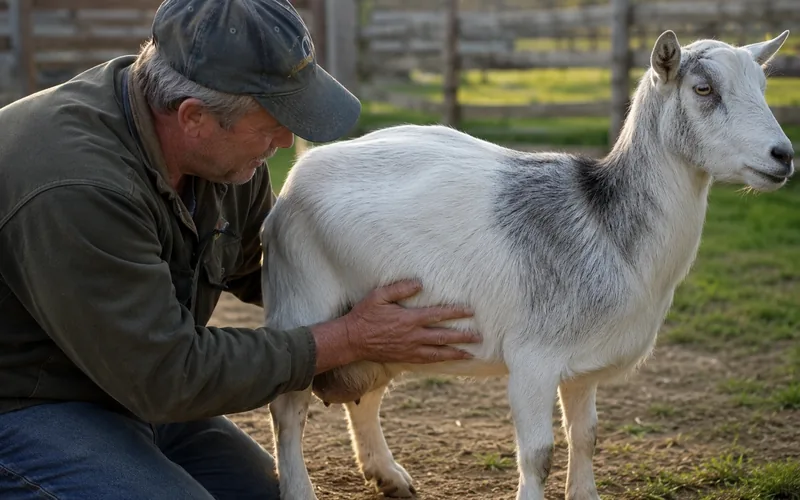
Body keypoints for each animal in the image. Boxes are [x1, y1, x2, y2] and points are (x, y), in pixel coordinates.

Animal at [260, 30, 794, 500]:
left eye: (763, 87)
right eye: (703, 89)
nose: (784, 155)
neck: (604, 223)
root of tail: (300, 172)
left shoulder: (585, 366)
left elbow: (587, 437)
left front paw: (586, 493)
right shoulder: (532, 359)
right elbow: (538, 454)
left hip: (383, 326)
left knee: (365, 397)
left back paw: (389, 476)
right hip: (302, 300)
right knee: (287, 409)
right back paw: (300, 488)